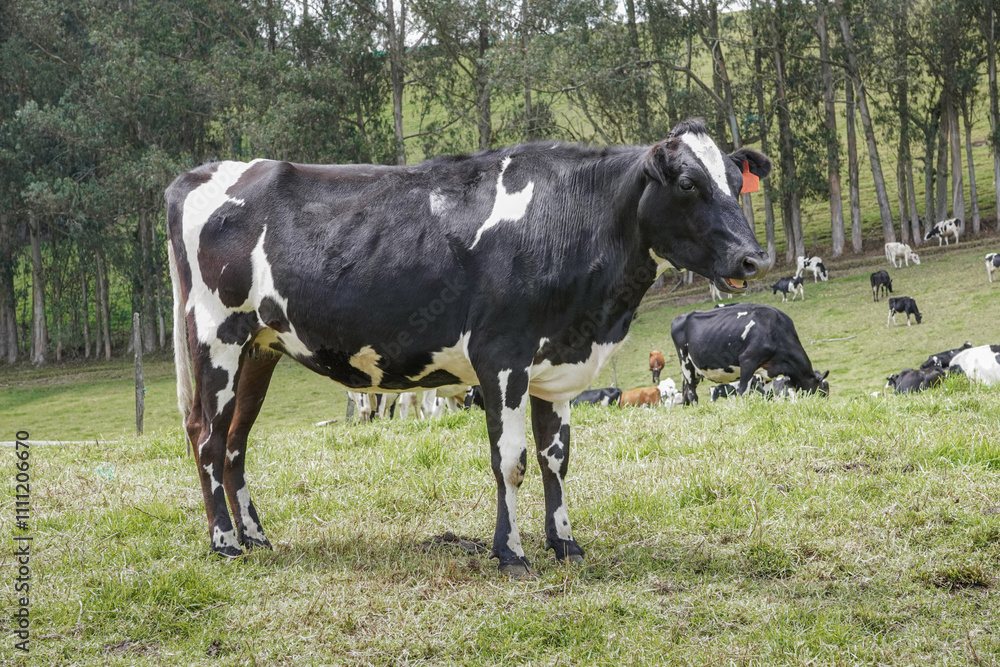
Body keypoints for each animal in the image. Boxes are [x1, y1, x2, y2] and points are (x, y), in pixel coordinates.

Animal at [165, 118, 772, 574]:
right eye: (688, 183)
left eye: (735, 179)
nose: (754, 259)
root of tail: (202, 172)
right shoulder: (500, 358)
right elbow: (511, 461)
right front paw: (512, 554)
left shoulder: (555, 364)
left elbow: (556, 459)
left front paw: (565, 545)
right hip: (216, 335)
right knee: (206, 435)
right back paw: (223, 543)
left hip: (259, 347)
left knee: (236, 440)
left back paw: (255, 537)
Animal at [670, 304, 829, 405]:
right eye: (821, 391)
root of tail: (680, 317)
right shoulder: (747, 360)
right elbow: (743, 391)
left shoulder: (768, 371)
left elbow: (768, 394)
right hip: (685, 362)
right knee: (692, 393)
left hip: (694, 370)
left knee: (686, 392)